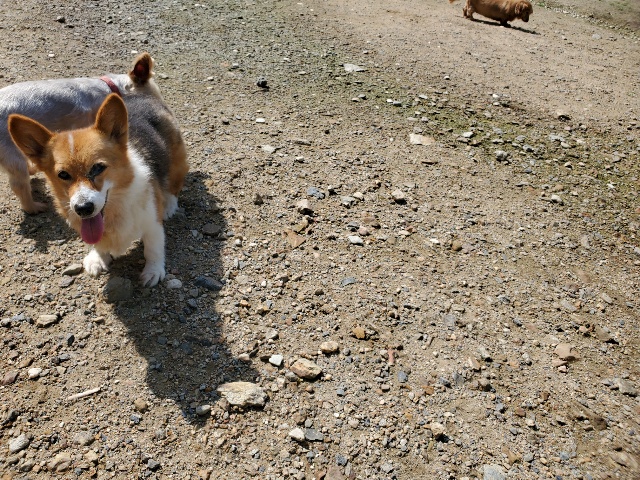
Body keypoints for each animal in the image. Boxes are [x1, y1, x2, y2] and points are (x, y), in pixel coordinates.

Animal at [8, 93, 188, 287]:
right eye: (63, 174)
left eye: (98, 168)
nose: (83, 208)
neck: (113, 212)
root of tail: (143, 95)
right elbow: (99, 244)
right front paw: (98, 258)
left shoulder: (152, 223)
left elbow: (153, 248)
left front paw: (153, 271)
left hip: (176, 161)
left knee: (175, 183)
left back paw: (169, 205)